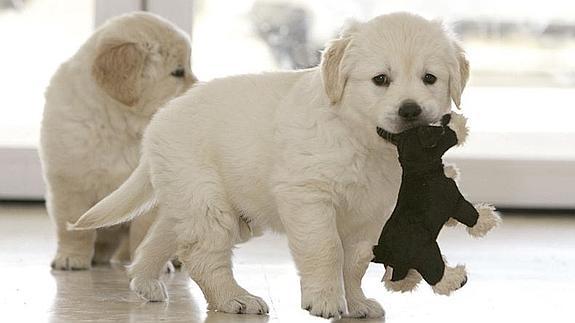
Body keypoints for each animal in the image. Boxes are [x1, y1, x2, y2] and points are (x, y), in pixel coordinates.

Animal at [40, 12, 198, 270]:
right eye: (177, 72)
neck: (120, 125)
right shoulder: (71, 183)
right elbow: (74, 228)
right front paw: (71, 257)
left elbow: (143, 232)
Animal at [74, 12, 470, 318]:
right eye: (380, 80)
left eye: (430, 78)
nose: (410, 110)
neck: (359, 137)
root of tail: (157, 123)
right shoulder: (308, 196)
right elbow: (326, 249)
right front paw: (325, 301)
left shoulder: (370, 214)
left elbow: (354, 262)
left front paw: (356, 302)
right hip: (208, 201)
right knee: (201, 256)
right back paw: (235, 299)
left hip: (192, 202)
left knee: (162, 237)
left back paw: (146, 282)